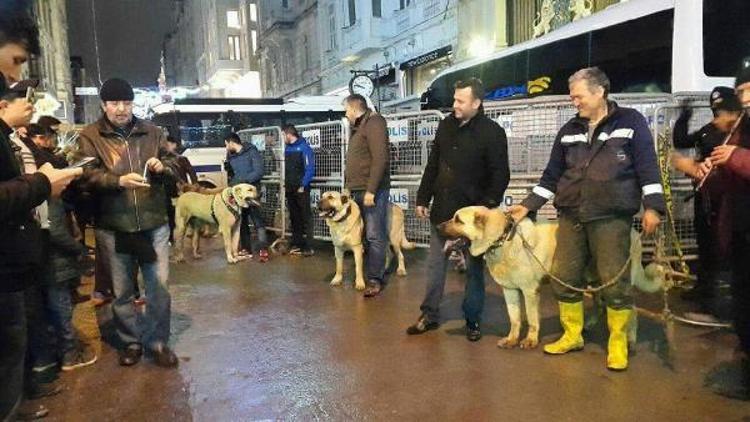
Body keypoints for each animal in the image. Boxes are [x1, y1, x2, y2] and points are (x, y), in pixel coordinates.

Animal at [440, 207, 664, 350]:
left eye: (458, 220)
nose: (437, 226)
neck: (502, 239)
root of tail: (636, 231)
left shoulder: (530, 291)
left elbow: (531, 319)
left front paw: (530, 340)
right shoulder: (509, 291)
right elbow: (514, 318)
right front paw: (511, 339)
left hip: (614, 278)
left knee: (631, 311)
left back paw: (629, 340)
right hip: (595, 280)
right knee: (600, 304)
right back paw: (588, 325)